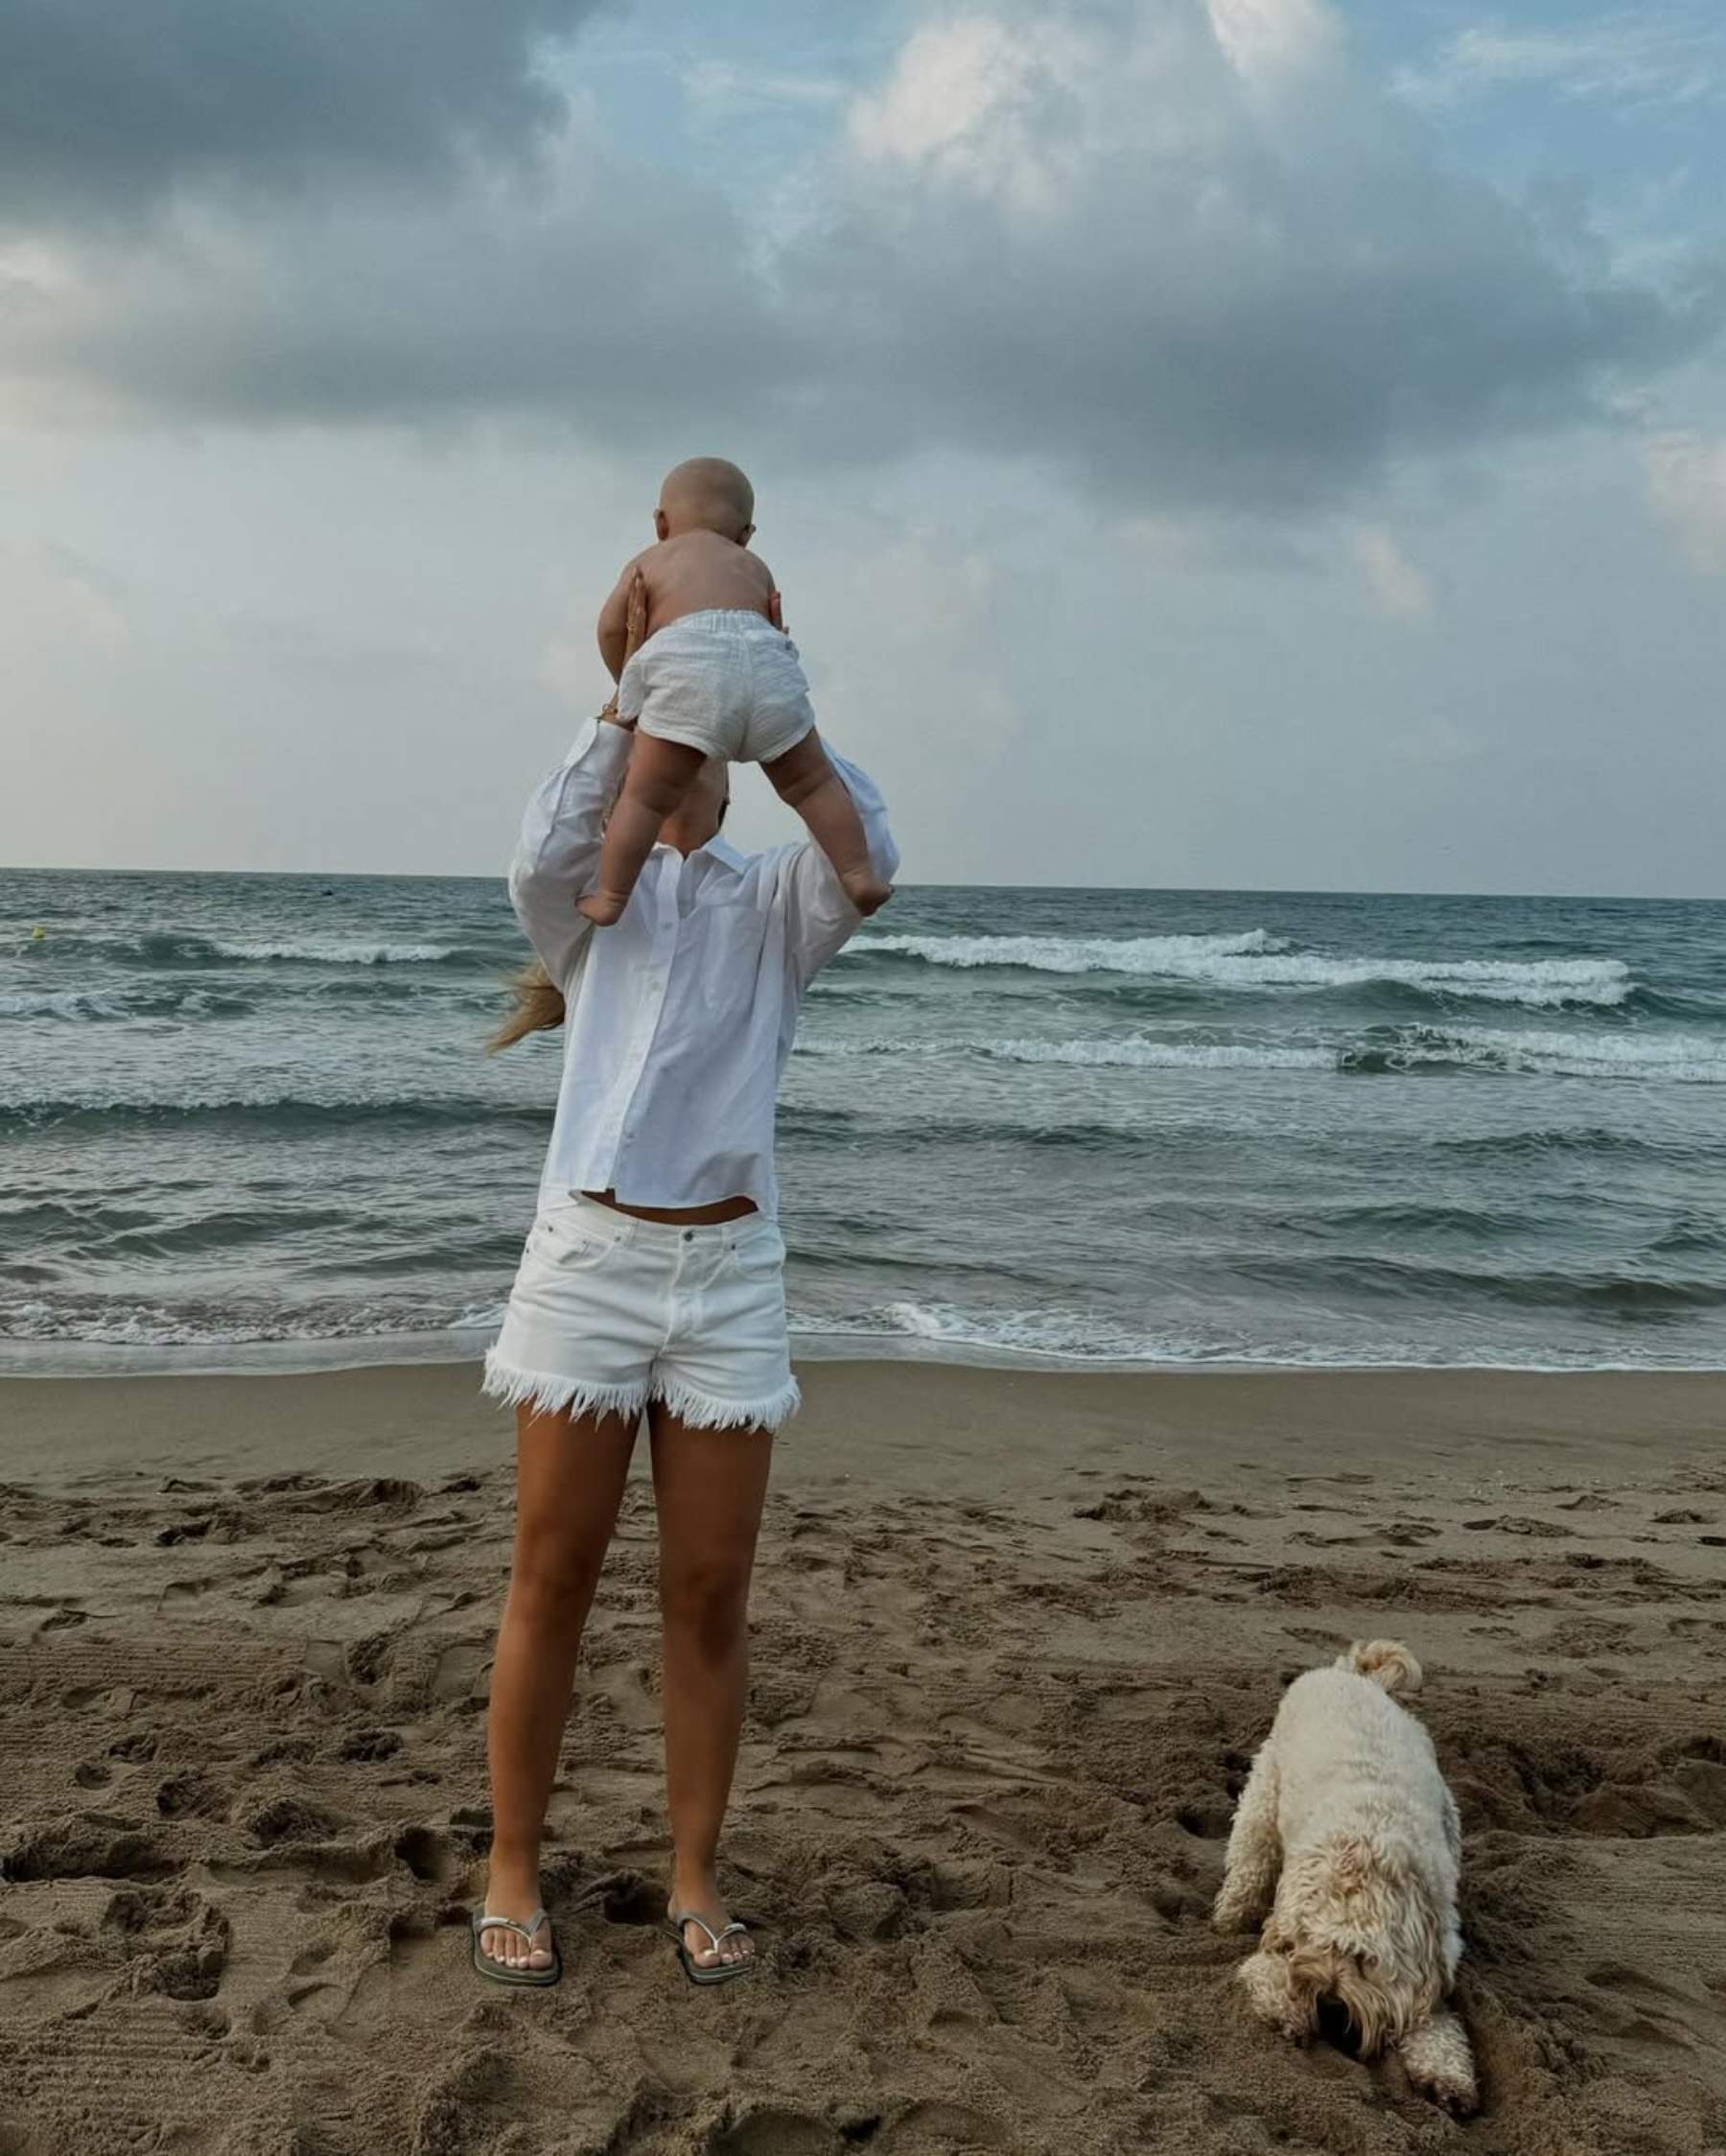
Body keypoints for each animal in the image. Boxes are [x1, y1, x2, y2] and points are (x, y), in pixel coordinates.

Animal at [1206, 1638, 1474, 2113]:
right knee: (1249, 1863)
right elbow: (1269, 1973)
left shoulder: (1432, 1961)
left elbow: (1435, 2026)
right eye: (1311, 1944)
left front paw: (1447, 2078)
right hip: (1264, 1794)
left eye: (1365, 1961)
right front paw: (1288, 2011)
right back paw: (1230, 1918)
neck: (1363, 1862)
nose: (1330, 2007)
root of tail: (1348, 1675)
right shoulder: (1280, 1939)